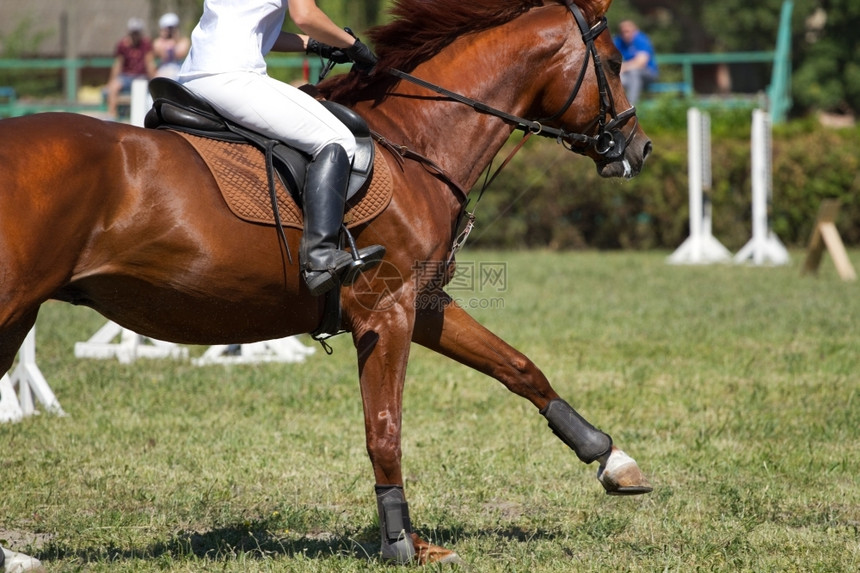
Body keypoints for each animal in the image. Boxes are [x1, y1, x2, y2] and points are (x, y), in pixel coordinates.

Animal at [1, 0, 652, 564]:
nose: (639, 148)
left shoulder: (421, 304)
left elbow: (518, 367)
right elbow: (384, 429)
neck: (417, 140)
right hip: (13, 306)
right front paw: (403, 543)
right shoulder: (387, 312)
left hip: (18, 315)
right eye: (615, 63)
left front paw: (610, 457)